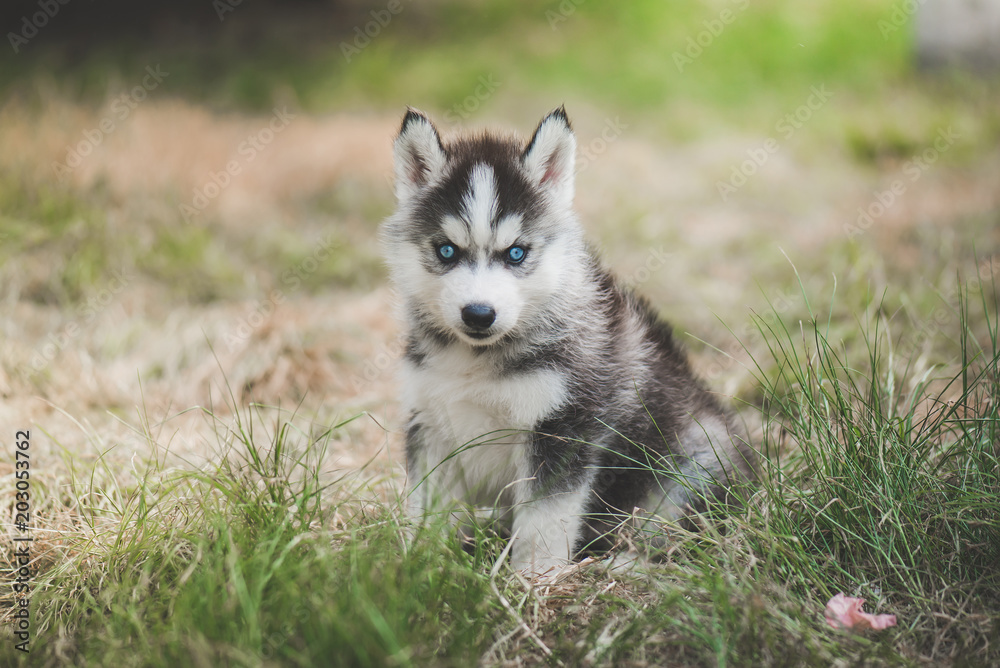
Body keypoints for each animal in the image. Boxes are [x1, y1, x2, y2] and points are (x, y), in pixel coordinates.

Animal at [378, 105, 752, 576]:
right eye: (447, 251)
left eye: (516, 253)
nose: (479, 314)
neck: (476, 360)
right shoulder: (429, 422)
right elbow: (424, 507)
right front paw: (416, 563)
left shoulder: (563, 427)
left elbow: (543, 520)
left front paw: (533, 580)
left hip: (694, 462)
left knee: (677, 535)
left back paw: (624, 564)